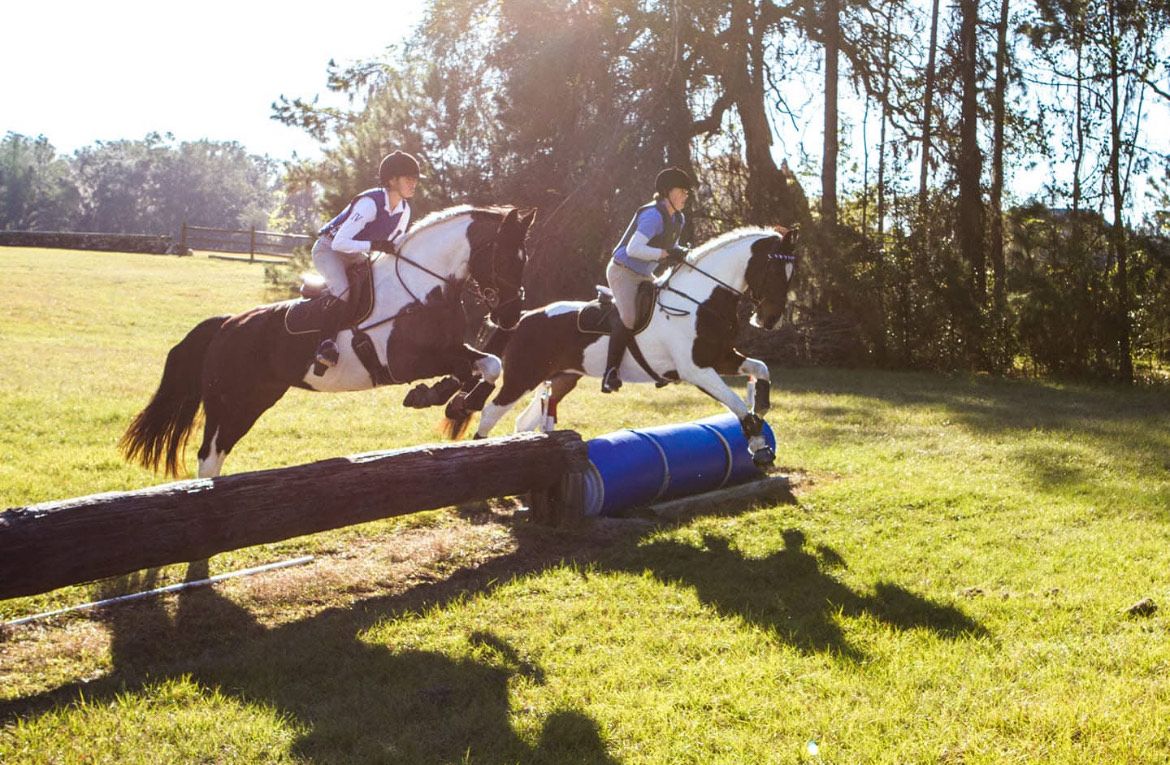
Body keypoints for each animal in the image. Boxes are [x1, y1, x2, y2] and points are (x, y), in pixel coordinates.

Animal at [122, 203, 535, 479]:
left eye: (523, 259)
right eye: (508, 259)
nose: (512, 316)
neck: (422, 287)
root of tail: (227, 324)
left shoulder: (453, 350)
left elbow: (490, 365)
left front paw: (455, 401)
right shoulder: (407, 362)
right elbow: (469, 369)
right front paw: (437, 396)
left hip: (256, 399)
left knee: (217, 454)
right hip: (230, 402)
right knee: (208, 457)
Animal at [460, 228, 800, 467]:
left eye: (790, 275)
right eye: (773, 272)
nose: (770, 320)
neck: (700, 302)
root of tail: (524, 317)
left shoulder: (721, 358)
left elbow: (760, 369)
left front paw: (762, 408)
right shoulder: (697, 370)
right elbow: (738, 406)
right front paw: (760, 447)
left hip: (562, 377)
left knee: (530, 416)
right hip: (522, 376)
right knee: (490, 412)